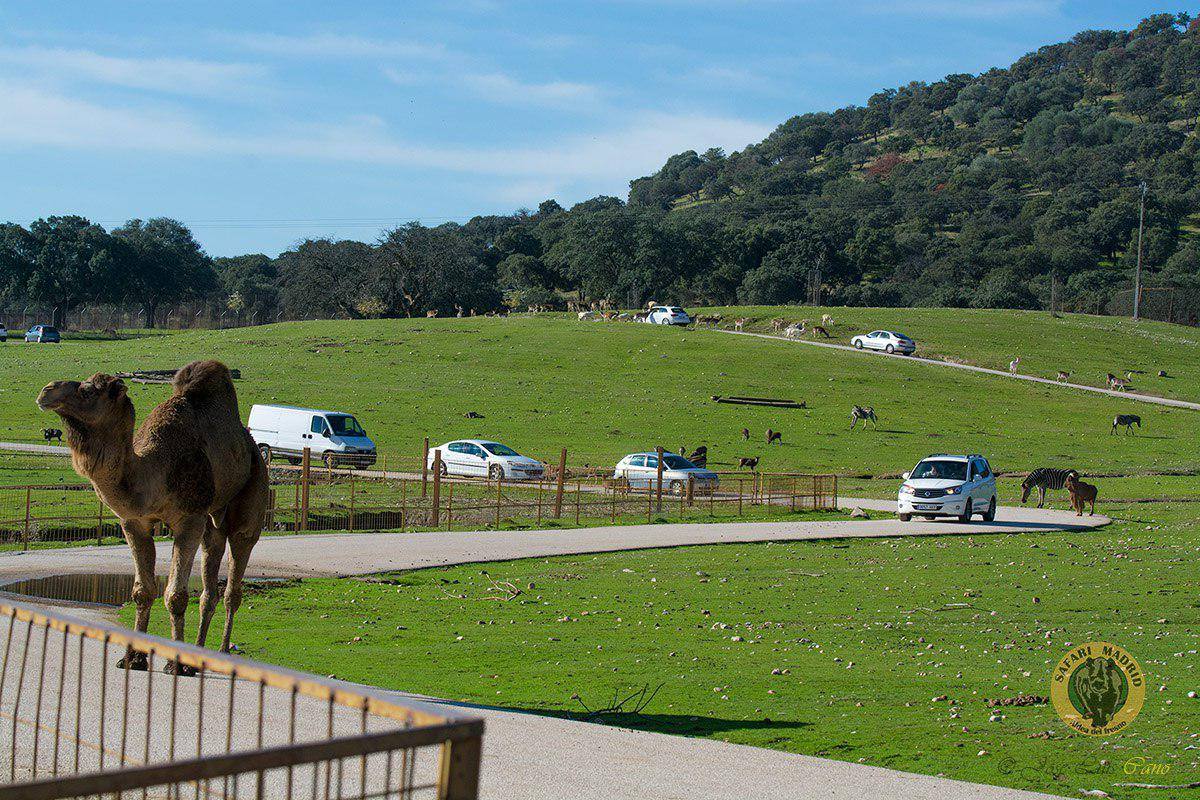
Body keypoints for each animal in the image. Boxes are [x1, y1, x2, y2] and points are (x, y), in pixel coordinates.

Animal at [38, 362, 267, 671]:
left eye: (88, 390)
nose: (46, 390)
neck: (152, 471)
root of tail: (252, 446)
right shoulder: (134, 522)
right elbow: (143, 591)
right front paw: (133, 658)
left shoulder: (189, 519)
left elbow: (176, 595)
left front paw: (177, 664)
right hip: (213, 521)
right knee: (210, 577)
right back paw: (200, 653)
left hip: (250, 500)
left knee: (234, 579)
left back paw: (221, 652)